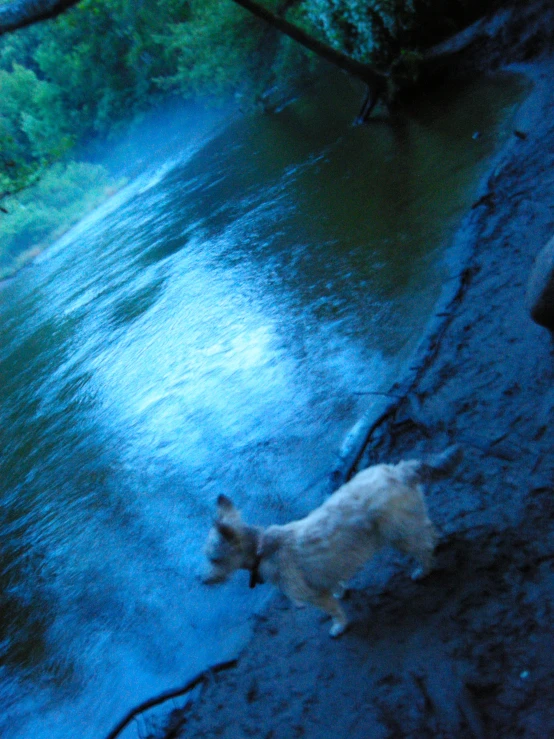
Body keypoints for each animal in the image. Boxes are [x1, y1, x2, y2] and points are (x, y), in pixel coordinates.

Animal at [201, 446, 460, 636]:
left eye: (214, 559)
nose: (202, 580)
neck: (262, 549)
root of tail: (398, 472)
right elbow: (335, 586)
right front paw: (341, 591)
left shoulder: (312, 596)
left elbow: (333, 610)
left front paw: (339, 626)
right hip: (408, 521)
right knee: (426, 530)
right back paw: (438, 543)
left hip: (397, 533)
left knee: (421, 547)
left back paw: (424, 569)